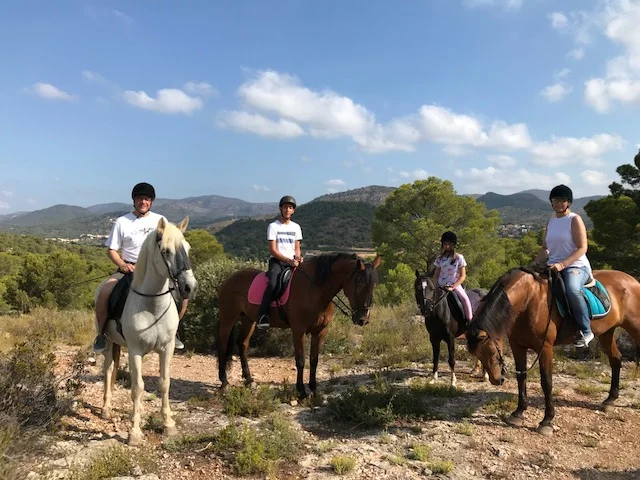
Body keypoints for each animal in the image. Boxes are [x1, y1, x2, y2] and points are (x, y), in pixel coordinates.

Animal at [96, 217, 198, 446]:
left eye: (187, 248)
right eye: (166, 251)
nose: (190, 287)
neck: (152, 306)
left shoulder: (167, 348)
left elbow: (164, 382)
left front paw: (168, 424)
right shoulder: (135, 351)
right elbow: (138, 387)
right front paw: (134, 432)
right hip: (108, 342)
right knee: (108, 370)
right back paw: (106, 408)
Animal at [217, 253, 382, 398]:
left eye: (373, 285)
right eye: (359, 284)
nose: (363, 319)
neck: (316, 290)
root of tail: (229, 279)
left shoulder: (320, 331)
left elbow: (314, 360)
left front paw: (314, 389)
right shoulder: (298, 330)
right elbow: (301, 360)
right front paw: (301, 391)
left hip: (249, 320)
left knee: (242, 344)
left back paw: (249, 380)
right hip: (228, 318)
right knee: (223, 346)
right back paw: (224, 382)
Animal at [467, 266, 640, 436]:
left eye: (491, 352)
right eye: (477, 355)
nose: (496, 380)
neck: (528, 300)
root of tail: (632, 281)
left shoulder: (545, 348)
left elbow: (547, 382)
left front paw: (547, 421)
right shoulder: (517, 346)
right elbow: (521, 378)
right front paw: (518, 413)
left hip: (634, 328)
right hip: (607, 332)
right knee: (616, 359)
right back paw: (610, 400)